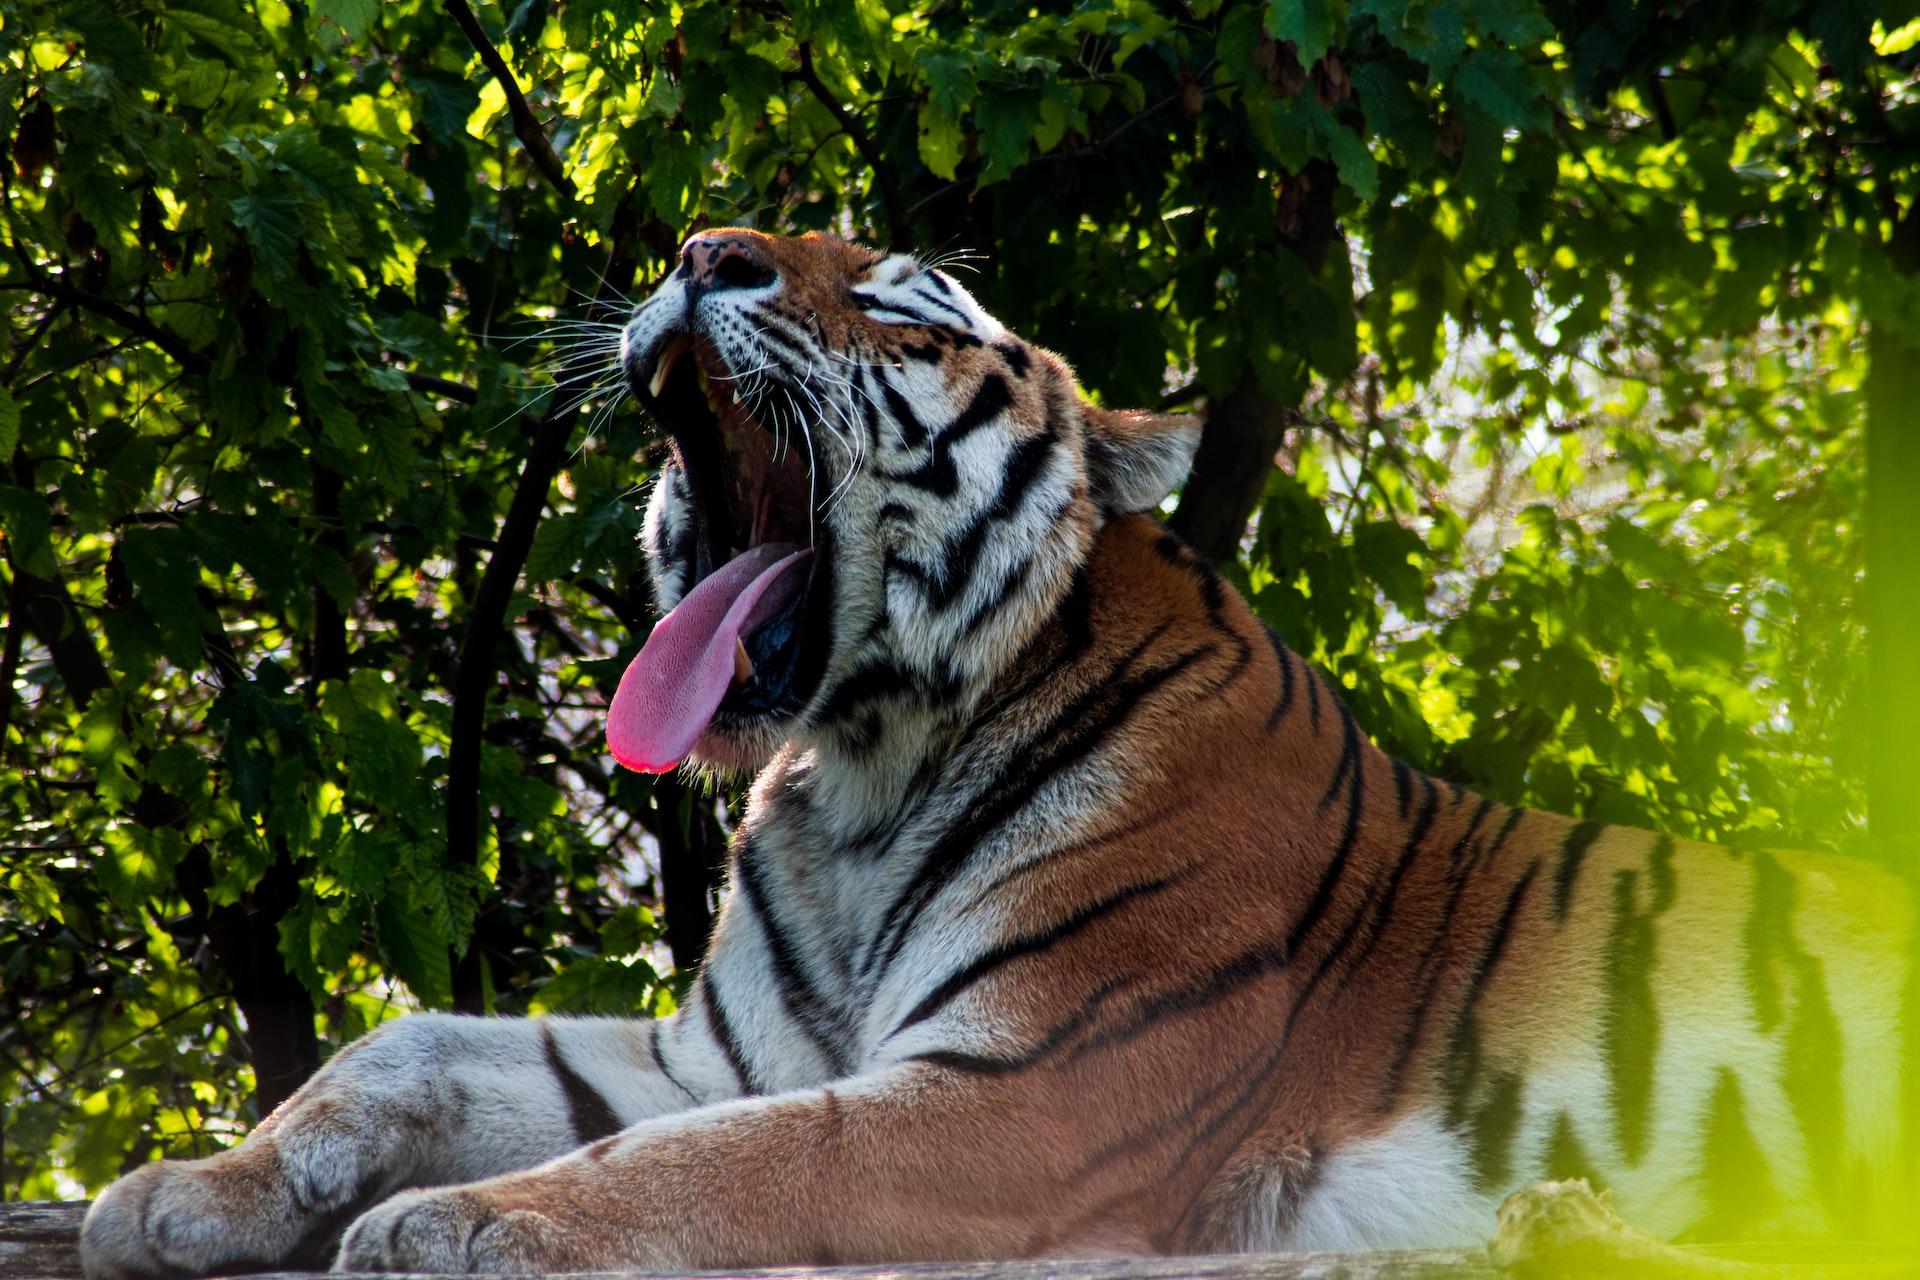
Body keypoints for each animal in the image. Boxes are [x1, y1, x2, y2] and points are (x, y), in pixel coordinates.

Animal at [81, 229, 1916, 1278]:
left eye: (904, 310)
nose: (701, 248)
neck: (858, 773)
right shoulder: (729, 1051)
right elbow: (412, 1047)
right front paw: (181, 1189)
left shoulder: (1030, 1085)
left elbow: (731, 1161)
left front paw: (471, 1223)